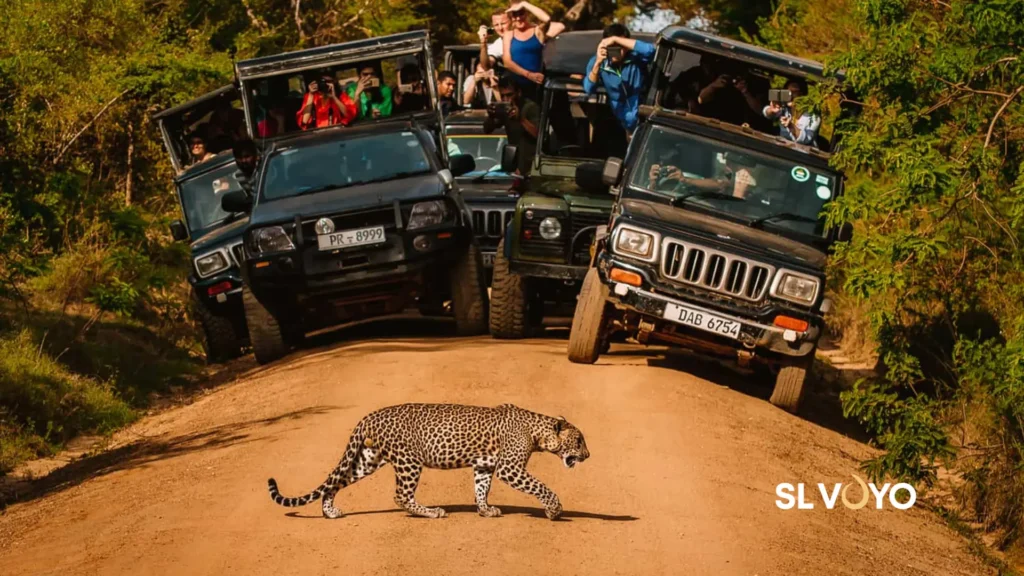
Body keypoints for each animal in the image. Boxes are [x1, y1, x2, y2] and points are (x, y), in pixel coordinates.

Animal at [267, 402, 590, 520]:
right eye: (579, 441)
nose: (588, 456)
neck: (538, 432)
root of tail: (370, 416)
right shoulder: (510, 468)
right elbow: (540, 487)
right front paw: (554, 510)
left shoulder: (484, 465)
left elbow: (481, 489)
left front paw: (485, 510)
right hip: (409, 461)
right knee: (401, 495)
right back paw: (432, 512)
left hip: (368, 459)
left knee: (337, 481)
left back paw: (330, 511)